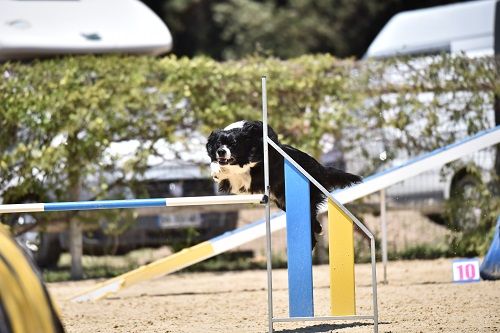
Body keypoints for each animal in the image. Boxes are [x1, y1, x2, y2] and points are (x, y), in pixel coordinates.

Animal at [205, 120, 362, 248]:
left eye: (234, 144)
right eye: (218, 144)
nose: (221, 151)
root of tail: (319, 166)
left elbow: (242, 168)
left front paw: (222, 171)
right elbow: (222, 168)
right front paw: (217, 171)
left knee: (310, 217)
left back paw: (311, 242)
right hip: (284, 202)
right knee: (312, 217)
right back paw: (319, 229)